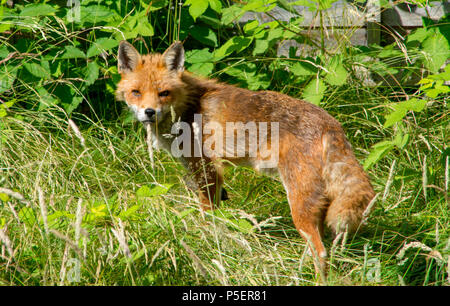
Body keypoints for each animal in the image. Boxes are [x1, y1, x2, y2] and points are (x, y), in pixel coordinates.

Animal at [114, 40, 374, 278]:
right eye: (136, 92)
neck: (188, 107)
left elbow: (206, 218)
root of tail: (331, 124)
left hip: (299, 202)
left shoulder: (206, 170)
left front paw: (205, 243)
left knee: (320, 252)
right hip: (314, 203)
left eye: (164, 93)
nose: (149, 112)